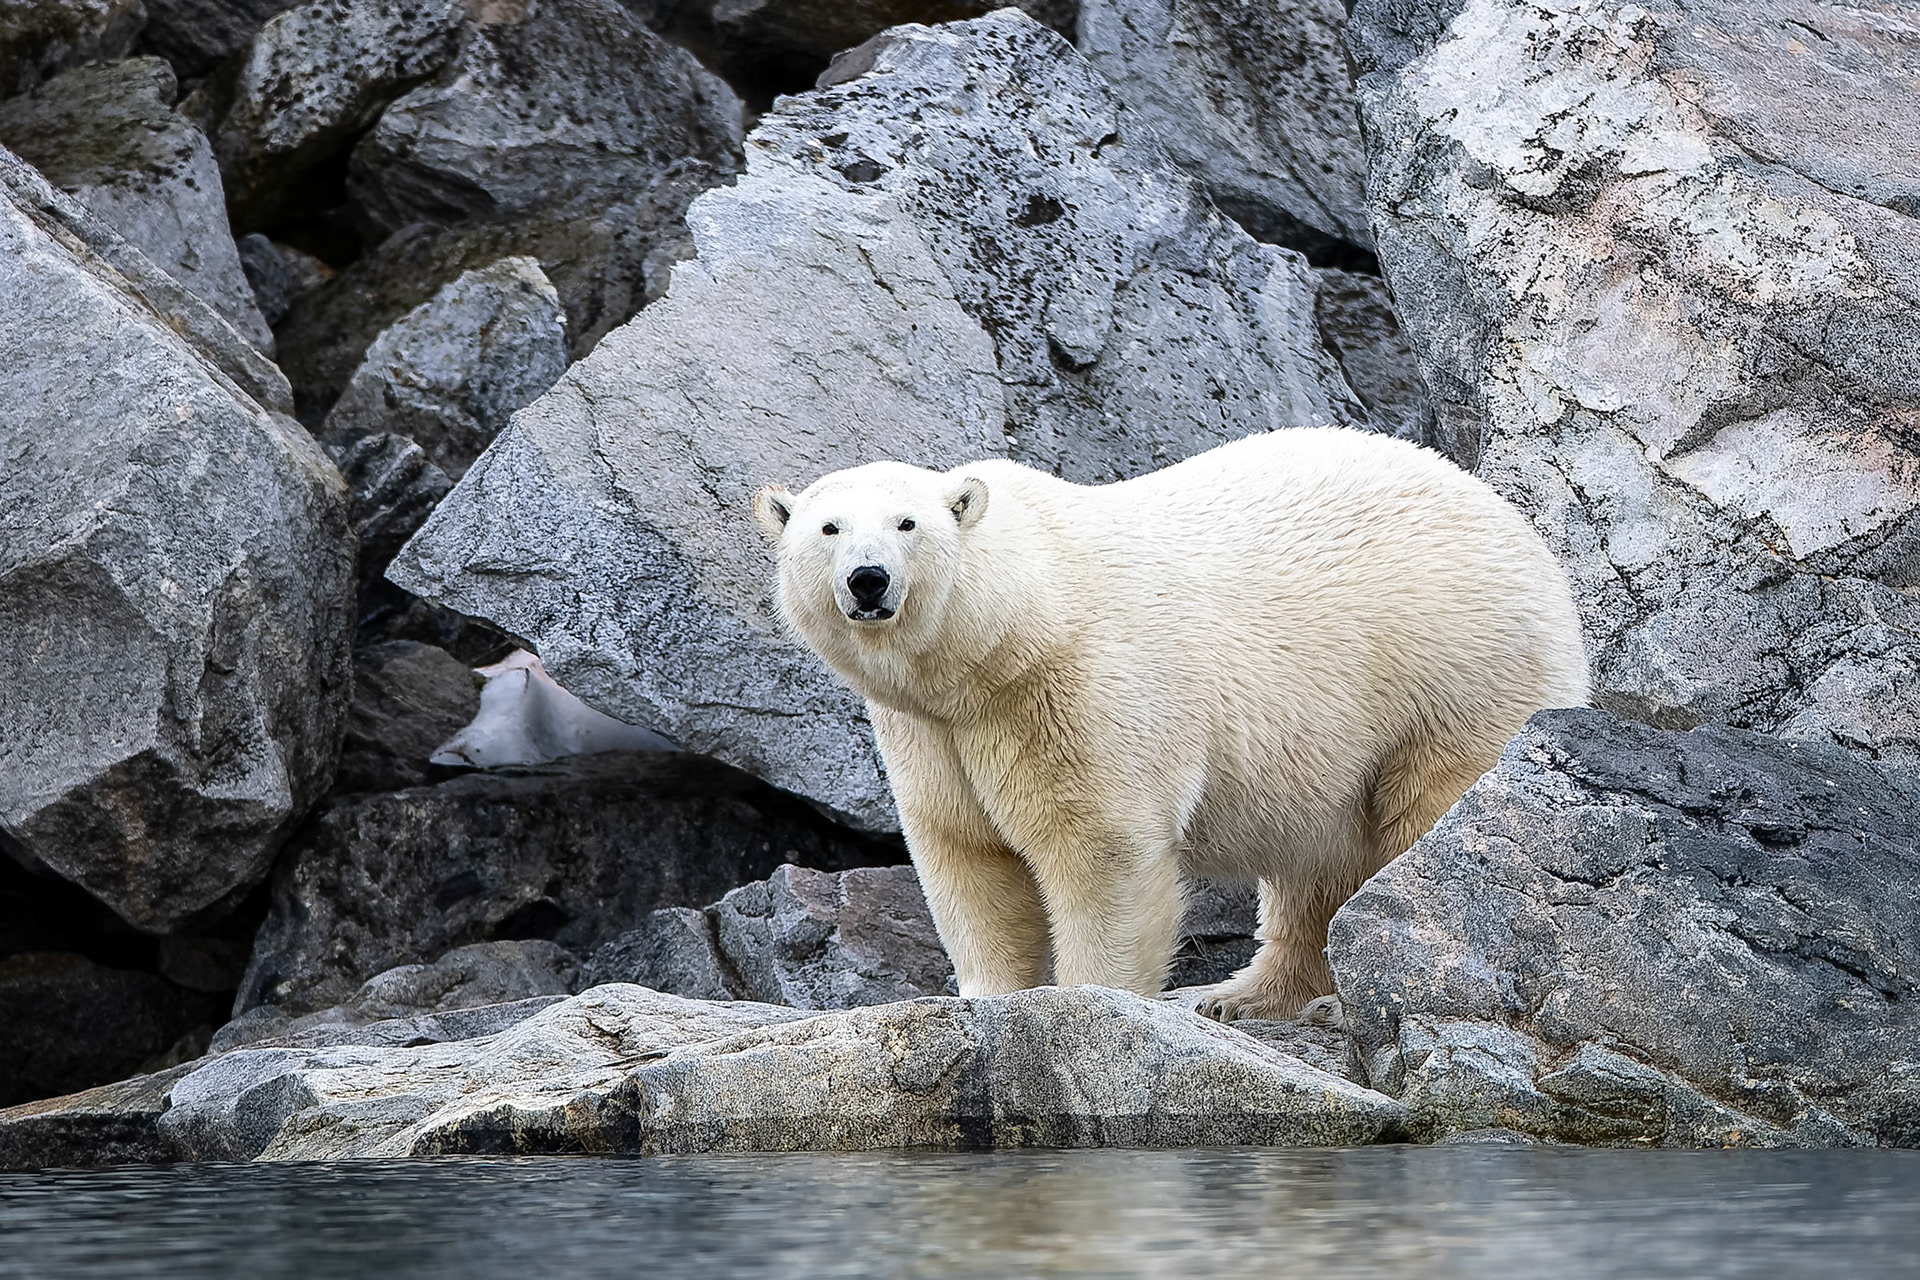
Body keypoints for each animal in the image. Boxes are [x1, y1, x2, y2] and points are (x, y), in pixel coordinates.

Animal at [752, 428, 1589, 1020]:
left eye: (907, 524)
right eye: (828, 529)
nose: (868, 580)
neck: (1011, 632)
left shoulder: (1075, 691)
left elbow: (1103, 853)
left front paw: (1089, 1000)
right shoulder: (931, 731)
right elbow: (967, 854)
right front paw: (989, 998)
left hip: (1452, 675)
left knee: (1424, 822)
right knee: (1314, 867)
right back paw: (1241, 996)